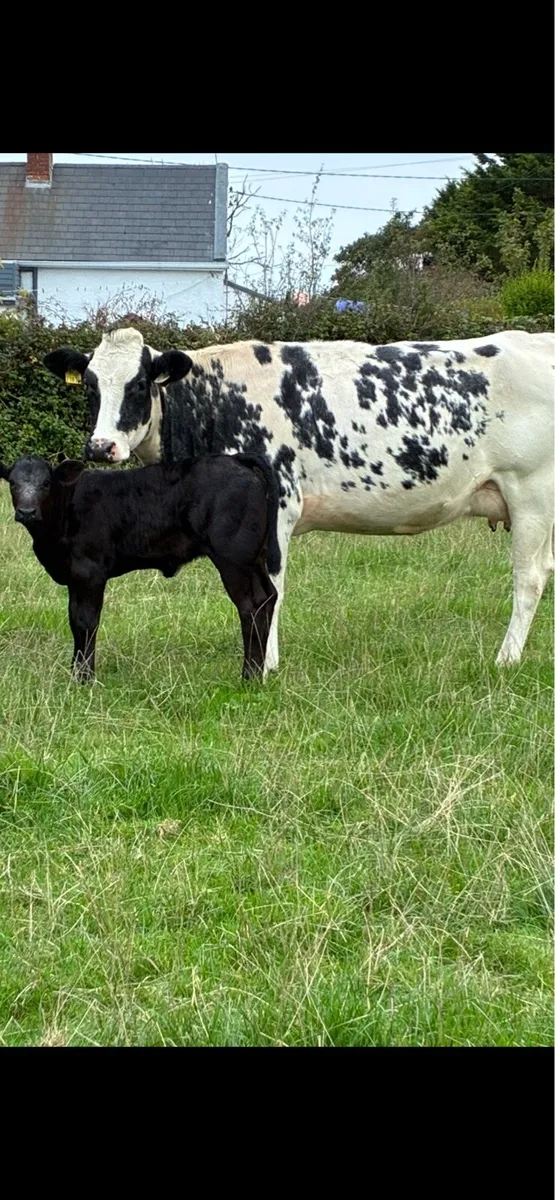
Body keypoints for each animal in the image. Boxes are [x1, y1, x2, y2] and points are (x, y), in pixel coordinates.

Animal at [0, 452, 280, 682]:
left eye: (46, 483)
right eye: (13, 483)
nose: (27, 511)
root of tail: (236, 460)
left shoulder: (90, 572)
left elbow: (86, 622)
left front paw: (85, 678)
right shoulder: (74, 577)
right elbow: (73, 620)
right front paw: (75, 673)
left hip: (233, 559)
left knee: (250, 608)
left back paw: (248, 676)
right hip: (256, 559)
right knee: (267, 598)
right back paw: (259, 674)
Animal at [43, 329, 555, 673]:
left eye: (138, 384)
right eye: (90, 386)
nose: (101, 447)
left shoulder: (278, 508)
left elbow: (271, 589)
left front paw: (265, 664)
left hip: (531, 493)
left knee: (528, 579)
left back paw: (506, 659)